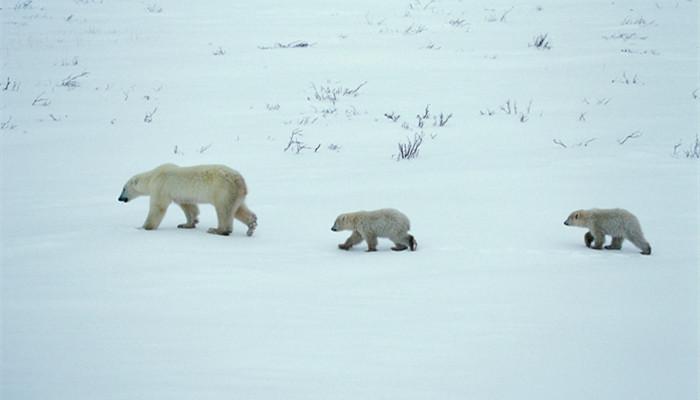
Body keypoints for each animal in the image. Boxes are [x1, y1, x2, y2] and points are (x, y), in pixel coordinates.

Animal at [119, 163, 258, 236]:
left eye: (123, 188)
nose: (119, 198)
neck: (152, 176)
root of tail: (240, 181)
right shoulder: (181, 195)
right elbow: (189, 207)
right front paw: (186, 224)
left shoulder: (160, 187)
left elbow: (158, 207)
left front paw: (143, 227)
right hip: (235, 193)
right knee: (238, 209)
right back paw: (251, 225)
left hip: (223, 190)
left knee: (224, 210)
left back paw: (217, 230)